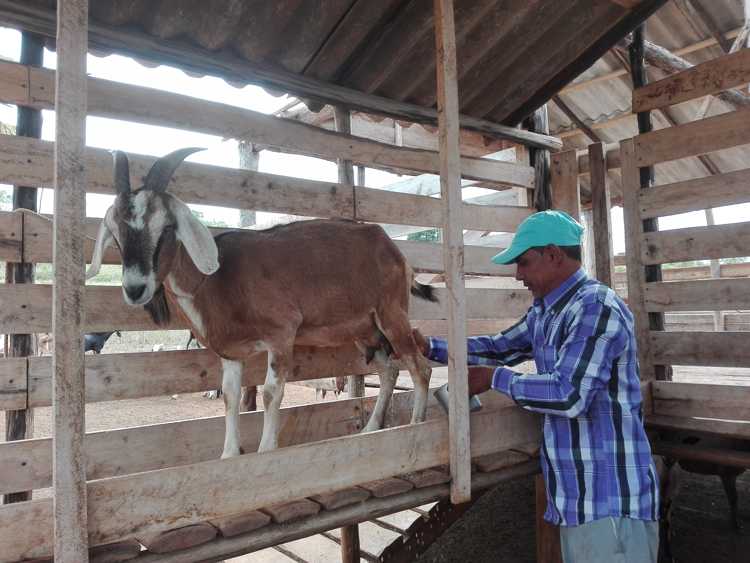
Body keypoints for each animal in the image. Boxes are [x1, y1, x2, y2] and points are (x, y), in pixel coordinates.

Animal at [88, 149, 438, 458]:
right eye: (116, 234)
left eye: (166, 228)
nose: (135, 289)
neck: (220, 280)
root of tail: (392, 248)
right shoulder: (230, 352)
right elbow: (230, 397)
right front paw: (229, 454)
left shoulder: (282, 332)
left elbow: (271, 393)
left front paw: (266, 450)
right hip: (365, 329)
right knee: (389, 370)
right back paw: (371, 428)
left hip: (391, 313)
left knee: (419, 367)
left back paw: (417, 424)